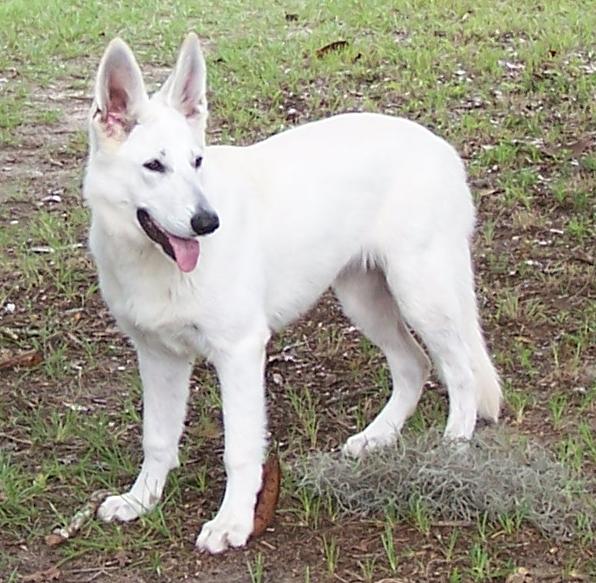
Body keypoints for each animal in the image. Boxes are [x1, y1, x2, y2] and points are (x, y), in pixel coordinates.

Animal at [82, 33, 501, 554]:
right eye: (153, 166)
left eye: (198, 162)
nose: (208, 223)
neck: (155, 262)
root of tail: (440, 146)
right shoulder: (159, 356)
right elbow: (157, 439)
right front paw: (141, 500)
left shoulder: (240, 351)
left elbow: (240, 449)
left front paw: (233, 522)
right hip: (364, 300)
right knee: (414, 365)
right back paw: (378, 437)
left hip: (421, 294)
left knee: (460, 372)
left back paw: (453, 449)